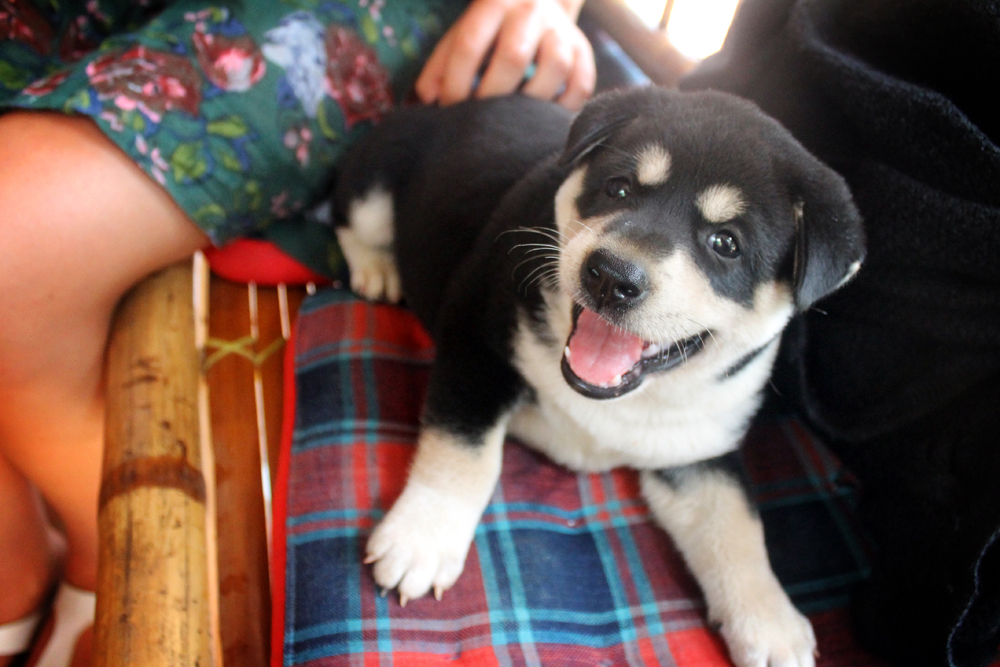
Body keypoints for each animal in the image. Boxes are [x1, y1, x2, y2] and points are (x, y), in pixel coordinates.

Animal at [332, 88, 864, 667]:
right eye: (619, 188)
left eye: (725, 243)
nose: (611, 276)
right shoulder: (474, 334)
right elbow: (464, 450)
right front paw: (422, 538)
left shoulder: (697, 448)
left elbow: (735, 520)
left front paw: (770, 623)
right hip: (378, 177)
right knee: (349, 219)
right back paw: (377, 268)